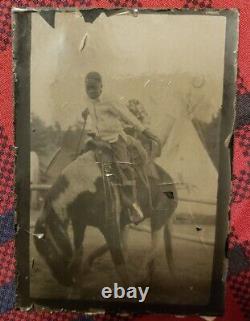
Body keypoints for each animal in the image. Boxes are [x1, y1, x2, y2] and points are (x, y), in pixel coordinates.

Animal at [33, 141, 178, 286]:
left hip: (158, 218)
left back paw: (141, 275)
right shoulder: (79, 223)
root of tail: (171, 183)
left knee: (155, 245)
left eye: (49, 252)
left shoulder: (110, 226)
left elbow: (119, 261)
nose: (62, 280)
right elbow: (79, 250)